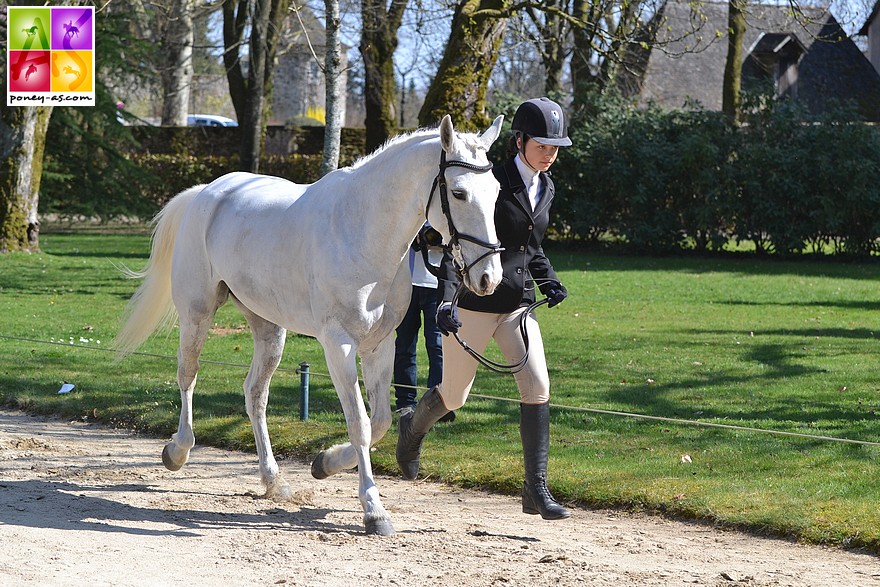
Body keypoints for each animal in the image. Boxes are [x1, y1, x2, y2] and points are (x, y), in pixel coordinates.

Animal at [113, 115, 506, 536]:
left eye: (497, 192)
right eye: (459, 193)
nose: (488, 278)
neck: (363, 231)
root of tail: (206, 192)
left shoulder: (380, 345)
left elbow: (380, 421)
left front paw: (325, 463)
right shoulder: (339, 345)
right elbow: (360, 423)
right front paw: (374, 511)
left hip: (269, 328)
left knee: (255, 394)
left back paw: (273, 479)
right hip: (197, 313)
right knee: (188, 374)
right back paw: (177, 451)